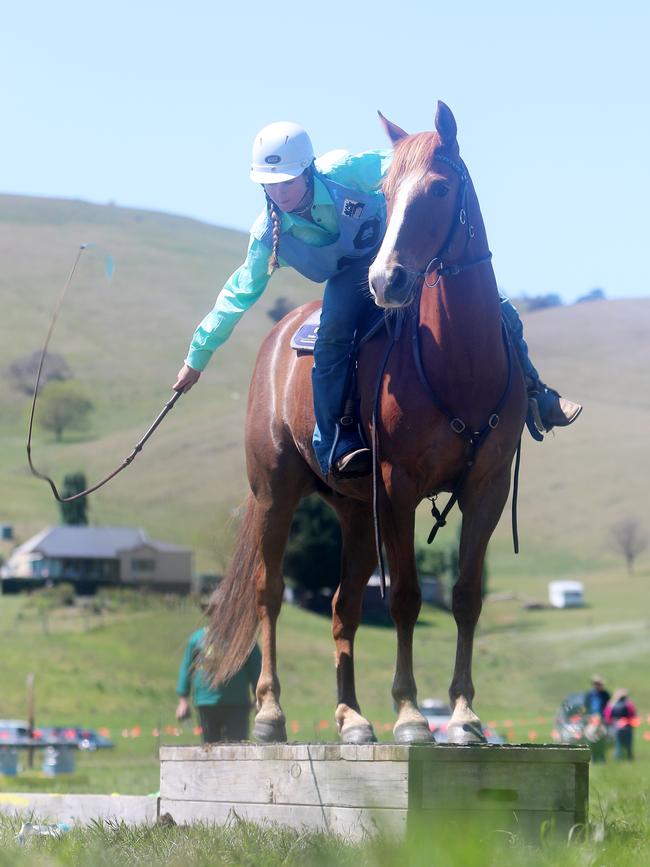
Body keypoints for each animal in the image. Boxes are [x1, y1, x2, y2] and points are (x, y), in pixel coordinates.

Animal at [208, 103, 528, 744]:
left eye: (439, 188)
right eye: (384, 192)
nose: (384, 281)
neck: (460, 360)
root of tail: (280, 337)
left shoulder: (486, 488)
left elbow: (465, 596)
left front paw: (463, 714)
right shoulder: (399, 489)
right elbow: (404, 596)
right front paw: (409, 715)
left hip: (356, 512)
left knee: (342, 607)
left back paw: (352, 719)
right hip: (276, 491)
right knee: (269, 593)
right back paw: (271, 714)